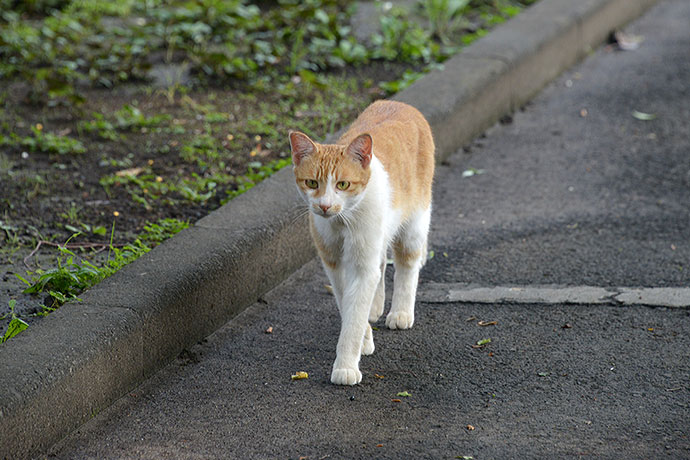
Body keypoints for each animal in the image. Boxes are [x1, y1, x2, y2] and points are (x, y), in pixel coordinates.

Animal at [288, 99, 432, 384]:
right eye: (312, 183)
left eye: (343, 184)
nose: (324, 206)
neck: (342, 220)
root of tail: (401, 103)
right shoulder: (332, 262)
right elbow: (347, 303)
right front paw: (365, 337)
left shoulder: (361, 265)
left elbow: (354, 313)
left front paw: (345, 366)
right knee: (381, 262)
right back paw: (375, 307)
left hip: (413, 223)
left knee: (407, 264)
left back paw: (401, 312)